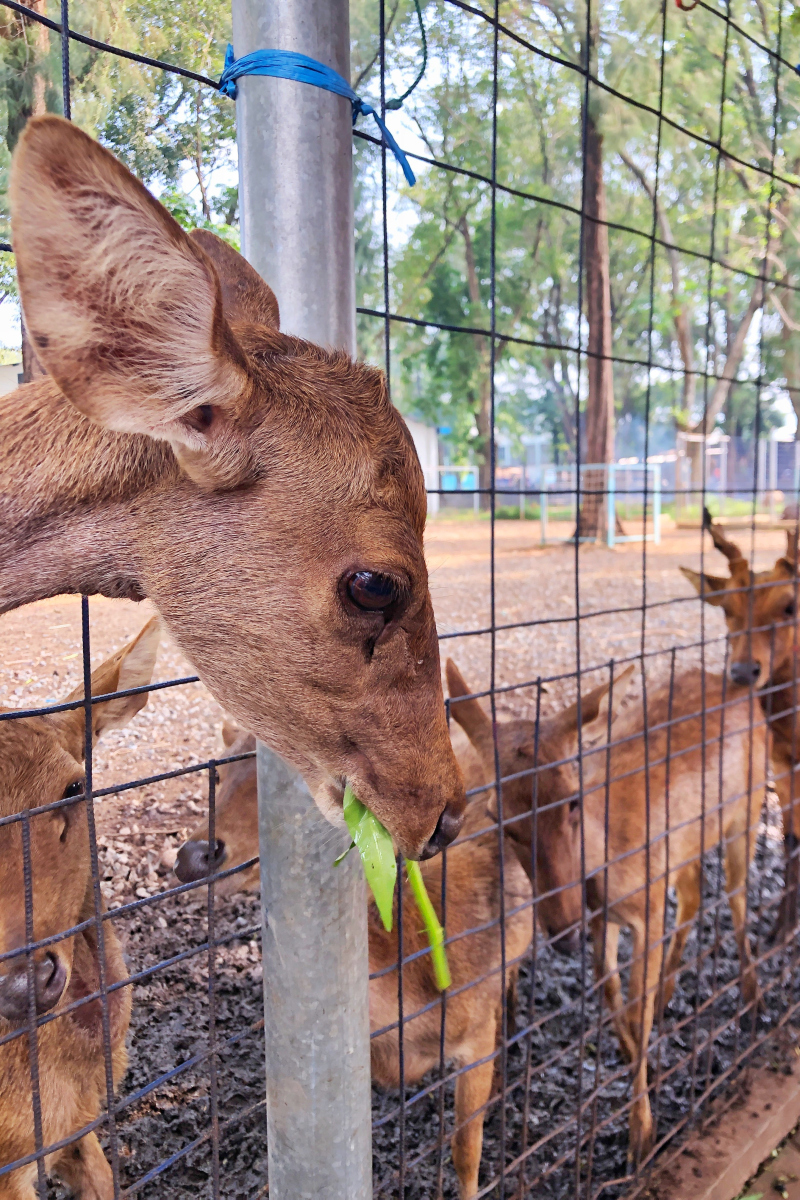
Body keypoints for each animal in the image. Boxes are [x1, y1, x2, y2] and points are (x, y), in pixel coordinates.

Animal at [448, 662, 767, 1166]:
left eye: (573, 799)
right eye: (500, 817)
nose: (563, 931)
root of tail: (739, 685)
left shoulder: (650, 904)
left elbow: (636, 1002)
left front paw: (642, 1137)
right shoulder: (603, 917)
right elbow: (610, 987)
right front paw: (635, 1055)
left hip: (748, 808)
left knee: (735, 892)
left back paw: (753, 998)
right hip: (690, 842)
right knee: (694, 895)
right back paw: (673, 993)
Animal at [681, 511, 800, 931]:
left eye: (789, 606)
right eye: (726, 608)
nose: (743, 671)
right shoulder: (781, 761)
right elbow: (791, 838)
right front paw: (782, 930)